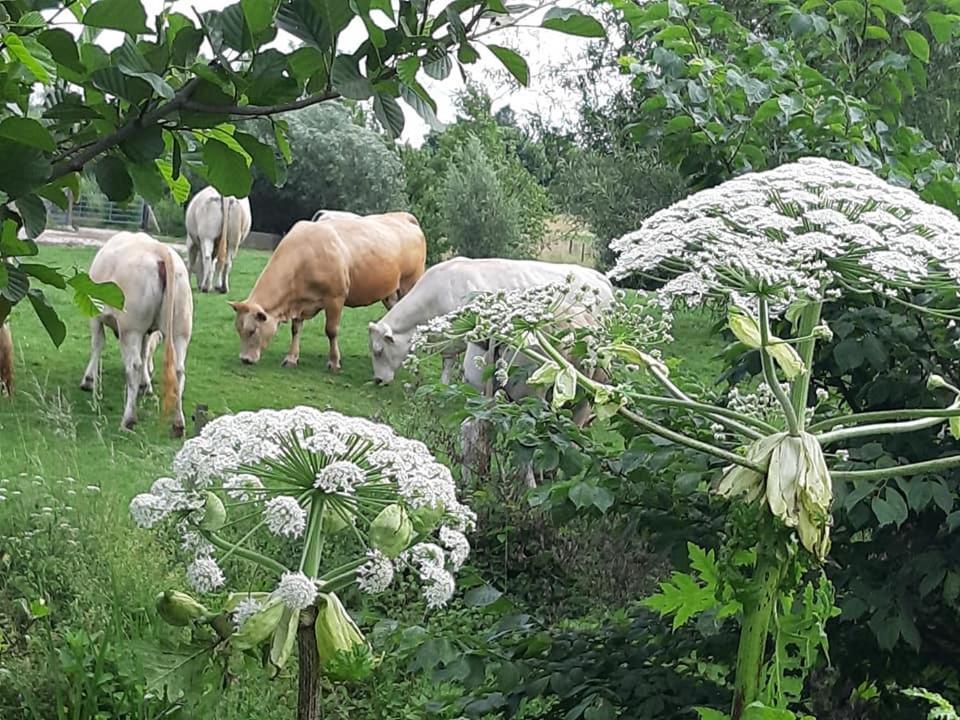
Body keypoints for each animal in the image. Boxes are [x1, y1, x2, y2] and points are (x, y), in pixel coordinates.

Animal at [80, 233, 193, 436]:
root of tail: (160, 250)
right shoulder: (147, 332)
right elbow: (145, 351)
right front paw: (145, 385)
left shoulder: (95, 316)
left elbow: (97, 345)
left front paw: (88, 380)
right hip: (180, 329)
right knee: (178, 370)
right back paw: (178, 423)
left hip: (131, 328)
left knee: (134, 366)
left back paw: (128, 420)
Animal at [229, 211, 424, 372]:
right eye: (238, 329)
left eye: (252, 330)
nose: (245, 359)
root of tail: (403, 216)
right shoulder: (300, 300)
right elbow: (296, 329)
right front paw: (291, 358)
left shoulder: (335, 298)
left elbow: (331, 330)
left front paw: (334, 362)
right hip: (390, 293)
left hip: (410, 283)